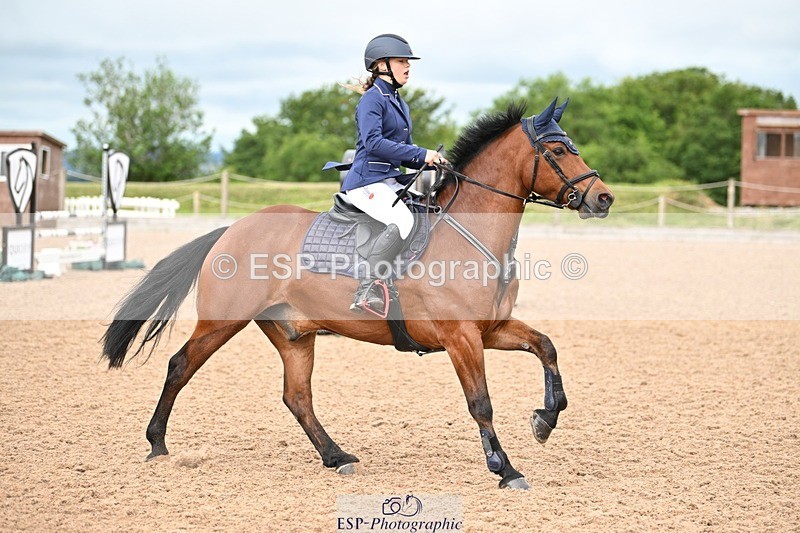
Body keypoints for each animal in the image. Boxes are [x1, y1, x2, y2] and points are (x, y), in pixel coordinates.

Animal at [101, 97, 614, 490]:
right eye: (558, 149)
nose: (603, 198)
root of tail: (230, 230)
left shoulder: (491, 329)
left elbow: (546, 346)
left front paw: (545, 419)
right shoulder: (461, 337)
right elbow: (481, 402)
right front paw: (505, 469)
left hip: (293, 333)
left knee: (297, 396)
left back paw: (337, 456)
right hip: (222, 320)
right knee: (180, 366)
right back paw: (157, 444)